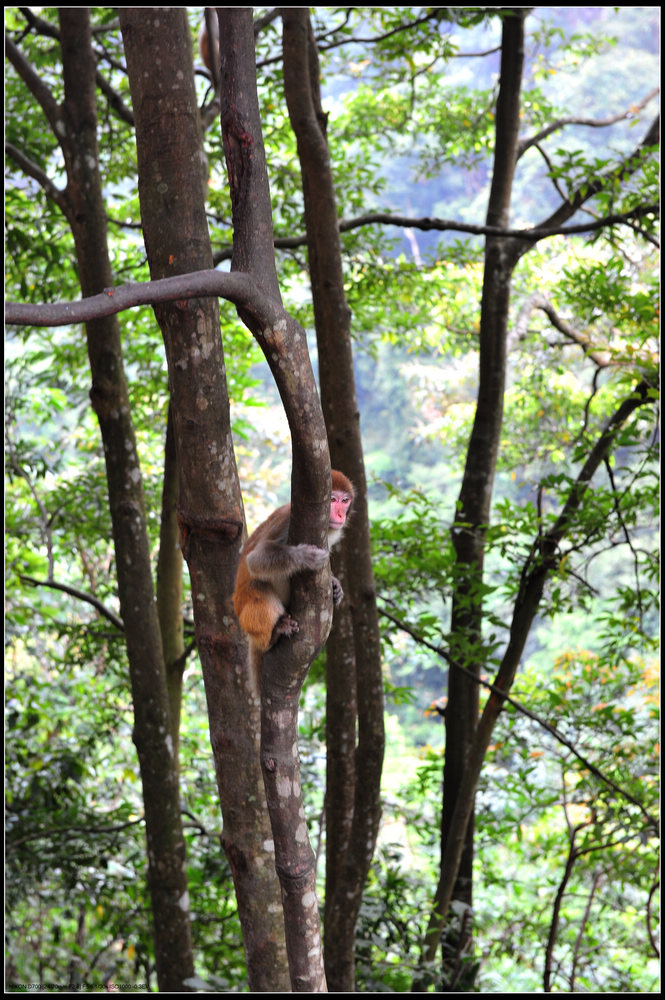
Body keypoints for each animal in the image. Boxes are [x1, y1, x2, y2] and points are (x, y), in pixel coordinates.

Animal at [236, 468, 356, 656]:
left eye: (345, 500)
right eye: (332, 499)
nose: (340, 514)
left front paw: (335, 585)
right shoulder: (286, 522)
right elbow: (255, 559)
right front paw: (304, 557)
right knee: (258, 584)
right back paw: (272, 635)